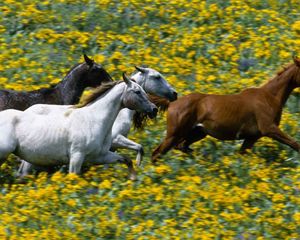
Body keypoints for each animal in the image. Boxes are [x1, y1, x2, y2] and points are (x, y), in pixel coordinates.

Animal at [152, 57, 300, 162]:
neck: (269, 96)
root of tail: (172, 103)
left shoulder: (252, 137)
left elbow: (242, 154)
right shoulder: (269, 128)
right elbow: (295, 144)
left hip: (196, 133)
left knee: (181, 146)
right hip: (174, 134)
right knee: (157, 153)